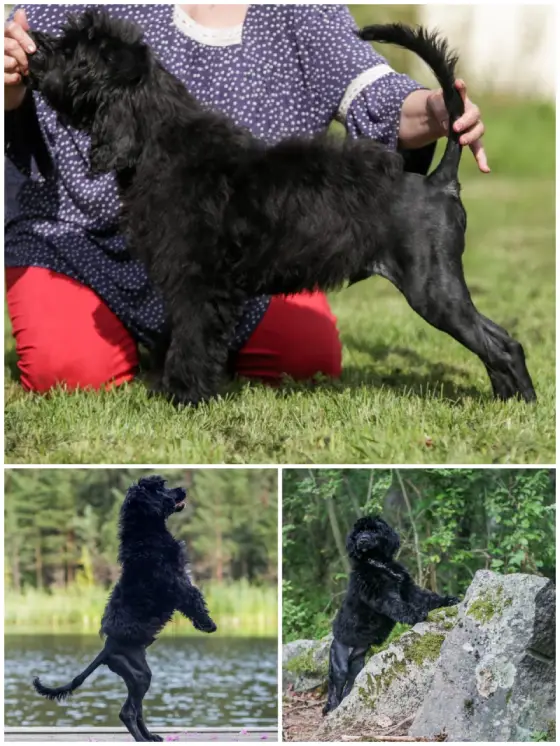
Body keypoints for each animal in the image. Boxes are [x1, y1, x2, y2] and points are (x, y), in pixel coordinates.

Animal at [26, 10, 532, 406]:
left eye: (77, 52)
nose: (32, 51)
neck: (158, 141)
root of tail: (437, 182)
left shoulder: (198, 283)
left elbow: (191, 340)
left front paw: (183, 395)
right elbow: (183, 336)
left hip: (432, 288)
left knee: (503, 345)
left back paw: (521, 405)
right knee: (500, 342)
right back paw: (506, 401)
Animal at [31, 476, 218, 740]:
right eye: (160, 488)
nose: (182, 489)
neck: (144, 533)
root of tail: (107, 649)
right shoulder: (175, 582)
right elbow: (194, 598)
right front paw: (207, 624)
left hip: (138, 676)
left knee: (135, 710)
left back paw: (150, 737)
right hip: (139, 676)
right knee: (127, 712)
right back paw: (141, 738)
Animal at [324, 516, 460, 712]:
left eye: (374, 530)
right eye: (358, 532)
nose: (362, 540)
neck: (379, 563)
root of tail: (335, 642)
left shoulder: (408, 589)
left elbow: (427, 597)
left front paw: (447, 600)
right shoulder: (382, 595)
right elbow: (399, 607)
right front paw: (416, 615)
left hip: (356, 667)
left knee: (348, 689)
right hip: (339, 667)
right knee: (335, 693)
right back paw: (333, 710)